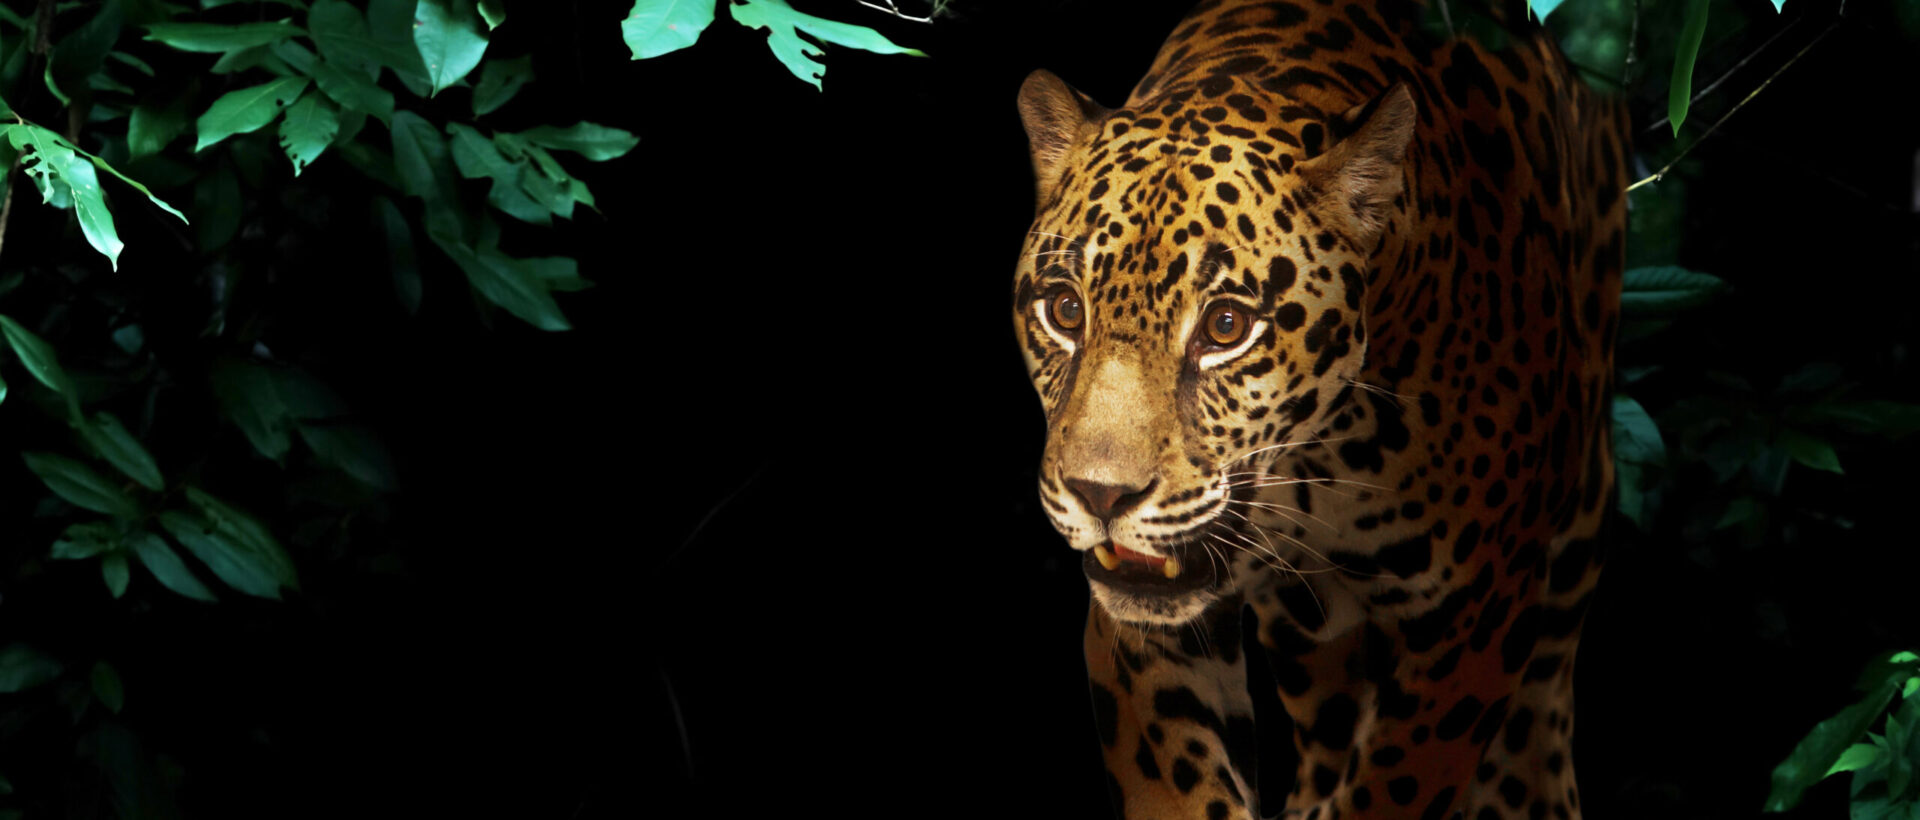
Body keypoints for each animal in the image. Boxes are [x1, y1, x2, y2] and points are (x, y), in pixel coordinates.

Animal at [1010, 0, 1627, 818]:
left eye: (1226, 326)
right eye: (1064, 310)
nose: (1100, 495)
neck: (1322, 461)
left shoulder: (1476, 610)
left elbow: (1399, 784)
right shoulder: (1146, 630)